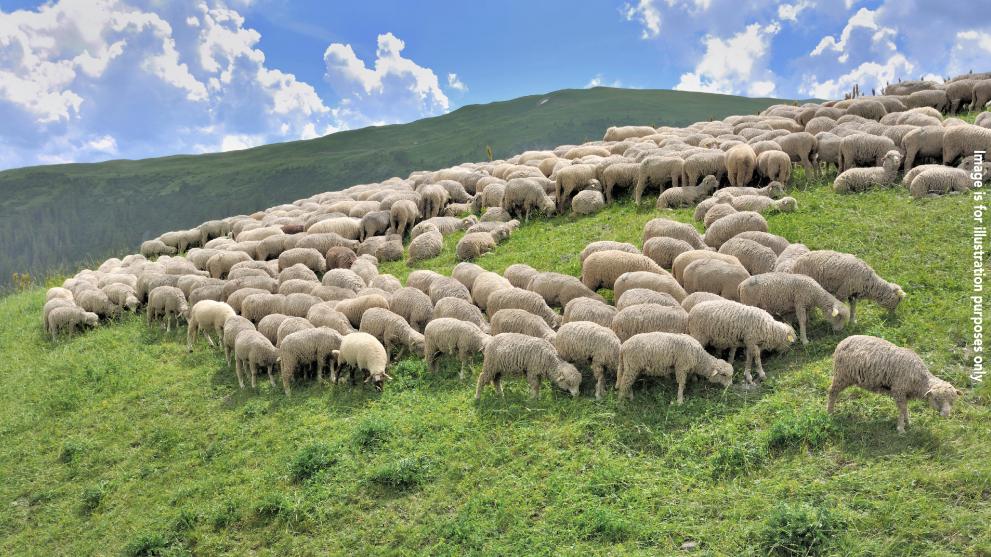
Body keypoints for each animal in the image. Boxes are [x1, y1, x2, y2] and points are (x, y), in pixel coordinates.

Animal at [829, 335, 961, 433]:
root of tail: (842, 342)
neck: (919, 379)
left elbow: (905, 409)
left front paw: (908, 422)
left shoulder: (905, 394)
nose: (946, 414)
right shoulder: (899, 391)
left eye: (952, 400)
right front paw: (901, 428)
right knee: (832, 392)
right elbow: (902, 410)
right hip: (842, 375)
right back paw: (830, 412)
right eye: (937, 399)